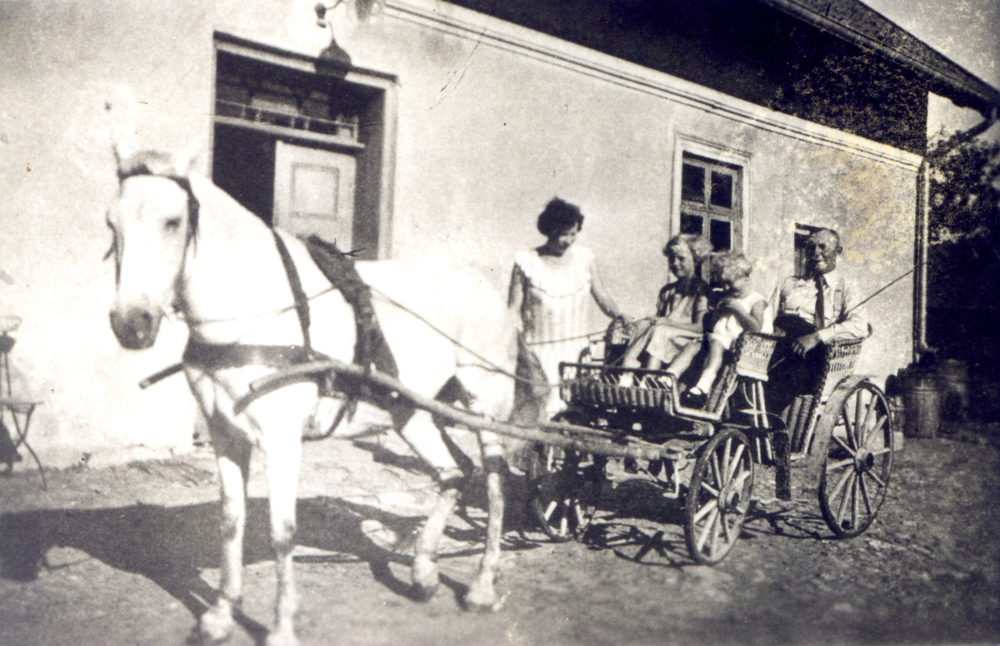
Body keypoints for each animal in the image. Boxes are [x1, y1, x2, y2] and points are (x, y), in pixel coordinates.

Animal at [105, 148, 520, 646]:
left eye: (172, 221)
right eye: (111, 222)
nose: (131, 324)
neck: (253, 308)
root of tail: (487, 287)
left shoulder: (282, 438)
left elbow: (283, 532)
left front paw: (282, 626)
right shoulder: (226, 434)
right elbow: (230, 523)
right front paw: (220, 617)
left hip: (487, 406)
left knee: (494, 485)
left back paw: (482, 586)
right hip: (410, 411)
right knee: (453, 473)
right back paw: (423, 573)